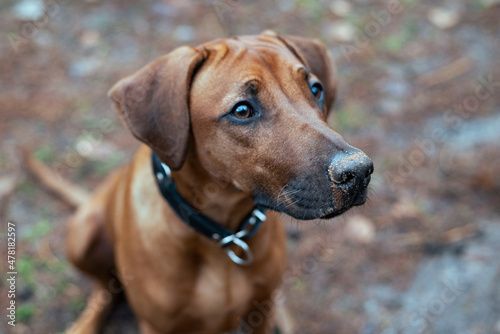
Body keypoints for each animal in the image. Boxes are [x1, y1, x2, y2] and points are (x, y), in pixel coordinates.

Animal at [27, 30, 372, 332]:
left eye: (315, 89)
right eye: (242, 110)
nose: (359, 171)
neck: (225, 232)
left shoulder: (260, 312)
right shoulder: (158, 326)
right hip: (82, 234)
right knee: (104, 290)